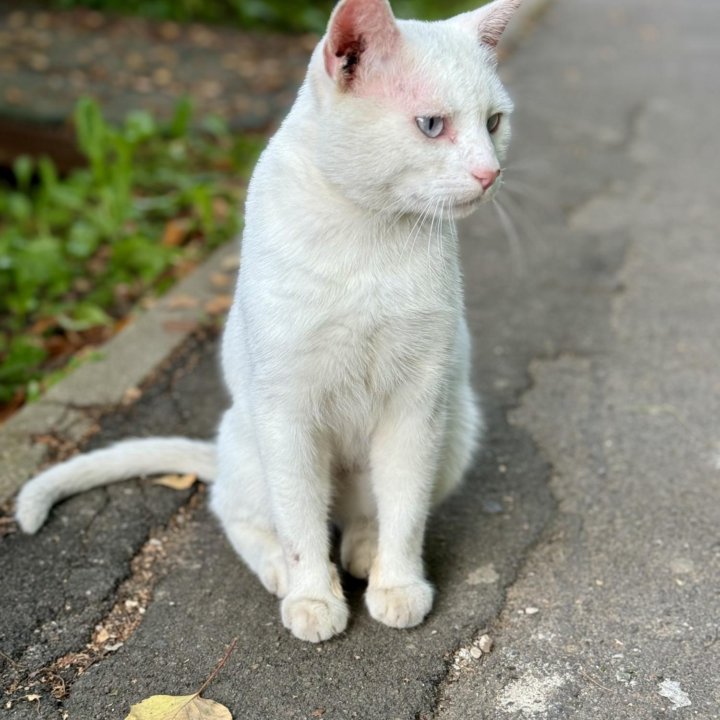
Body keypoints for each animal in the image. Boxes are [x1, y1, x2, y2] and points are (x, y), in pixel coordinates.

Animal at [14, 0, 520, 640]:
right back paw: (281, 566)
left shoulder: (418, 404)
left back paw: (364, 549)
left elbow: (404, 510)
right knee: (241, 513)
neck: (367, 236)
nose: (489, 173)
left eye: (494, 122)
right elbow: (300, 520)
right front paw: (313, 598)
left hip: (455, 428)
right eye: (432, 125)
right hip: (252, 442)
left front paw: (398, 584)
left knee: (367, 512)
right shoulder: (286, 410)